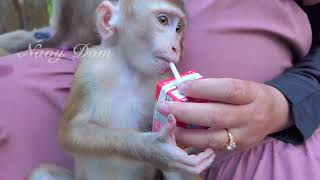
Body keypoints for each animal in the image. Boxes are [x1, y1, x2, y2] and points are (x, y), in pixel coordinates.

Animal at [30, 0, 214, 179]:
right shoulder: (89, 70)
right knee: (41, 173)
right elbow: (71, 132)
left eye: (178, 29)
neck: (128, 71)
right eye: (163, 20)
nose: (177, 47)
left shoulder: (161, 77)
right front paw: (153, 149)